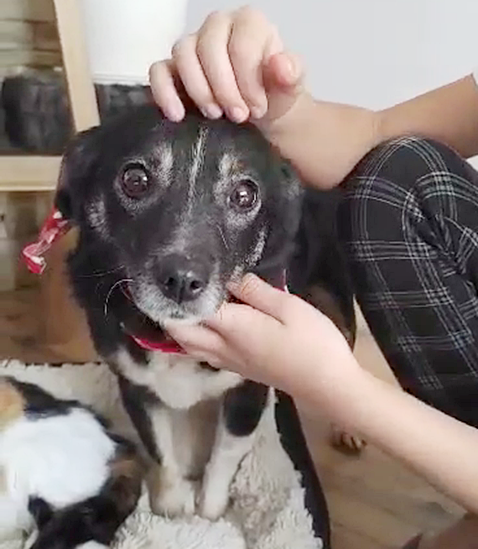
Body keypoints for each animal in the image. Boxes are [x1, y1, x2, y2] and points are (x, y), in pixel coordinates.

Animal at [52, 103, 359, 521]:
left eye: (245, 195)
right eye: (135, 179)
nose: (181, 281)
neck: (171, 337)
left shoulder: (249, 388)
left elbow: (225, 454)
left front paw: (210, 512)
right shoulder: (135, 385)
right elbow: (161, 452)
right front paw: (170, 508)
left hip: (338, 301)